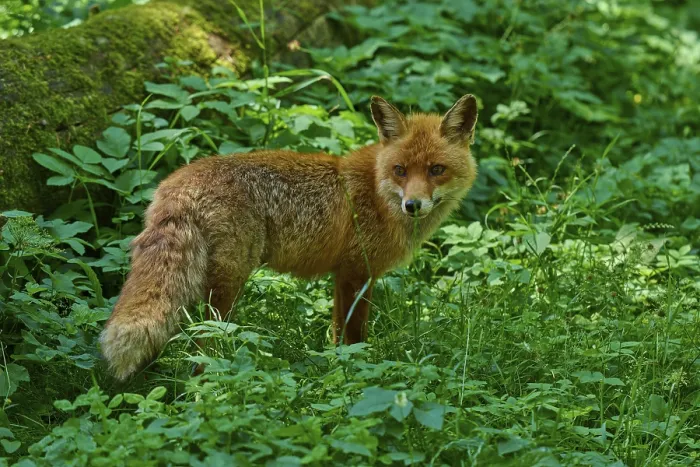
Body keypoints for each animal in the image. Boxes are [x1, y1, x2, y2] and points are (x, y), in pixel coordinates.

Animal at [100, 94, 479, 381]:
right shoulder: (359, 272)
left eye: (436, 170)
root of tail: (177, 182)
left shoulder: (342, 275)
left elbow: (336, 334)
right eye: (400, 170)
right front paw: (357, 371)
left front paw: (337, 368)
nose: (412, 205)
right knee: (204, 342)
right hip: (229, 283)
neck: (377, 190)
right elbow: (354, 336)